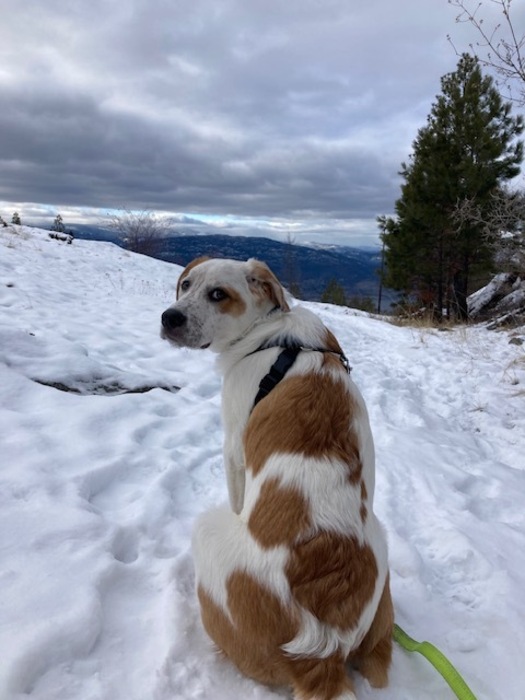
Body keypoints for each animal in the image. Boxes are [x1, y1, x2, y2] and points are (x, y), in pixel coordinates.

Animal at [160, 258, 392, 700]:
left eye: (219, 294)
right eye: (186, 284)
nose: (169, 318)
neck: (270, 337)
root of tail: (320, 652)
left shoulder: (234, 449)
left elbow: (238, 492)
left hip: (207, 529)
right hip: (380, 542)